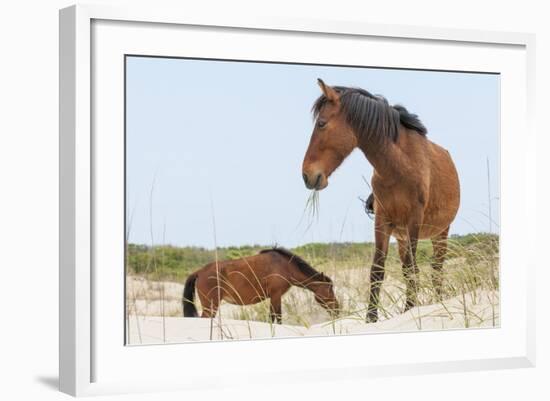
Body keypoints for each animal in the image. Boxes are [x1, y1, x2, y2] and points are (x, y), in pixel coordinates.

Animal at [185, 245, 340, 324]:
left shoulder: (274, 298)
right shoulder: (276, 296)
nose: (337, 309)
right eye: (330, 289)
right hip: (210, 306)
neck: (285, 266)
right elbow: (277, 318)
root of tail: (199, 272)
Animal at [302, 78, 462, 322]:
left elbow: (413, 268)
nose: (307, 175)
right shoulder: (382, 221)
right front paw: (372, 318)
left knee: (437, 268)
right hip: (402, 237)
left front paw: (410, 310)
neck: (398, 166)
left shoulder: (414, 220)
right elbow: (378, 270)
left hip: (440, 232)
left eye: (321, 123)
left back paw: (438, 301)